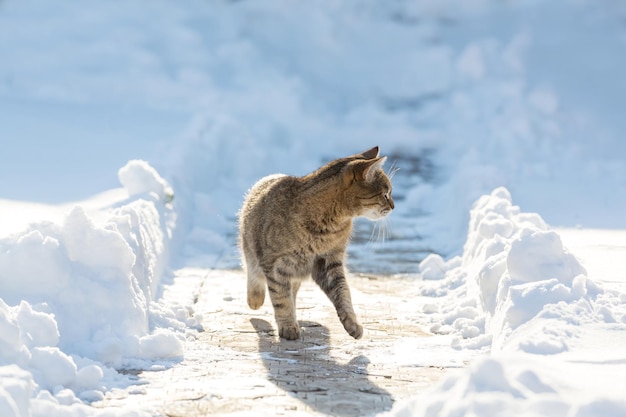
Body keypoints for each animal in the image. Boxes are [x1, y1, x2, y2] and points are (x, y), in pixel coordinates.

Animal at [236, 145, 392, 338]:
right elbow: (281, 298)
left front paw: (352, 323)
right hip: (251, 250)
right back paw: (255, 299)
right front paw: (288, 326)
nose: (393, 206)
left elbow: (343, 293)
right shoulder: (274, 263)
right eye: (385, 194)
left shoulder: (329, 262)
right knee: (253, 274)